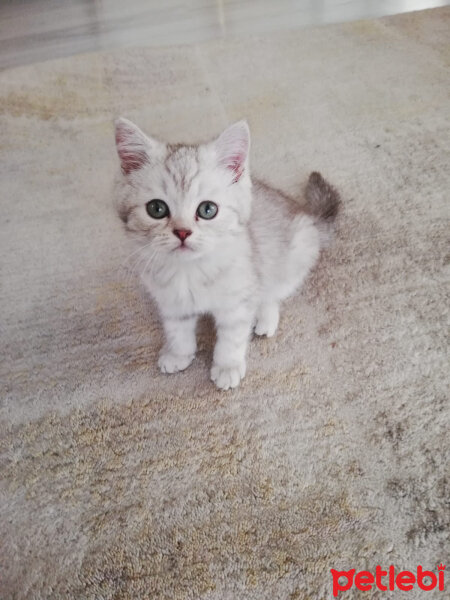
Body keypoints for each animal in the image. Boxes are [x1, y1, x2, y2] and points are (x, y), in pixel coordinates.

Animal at [114, 118, 340, 390]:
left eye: (207, 209)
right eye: (156, 209)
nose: (182, 232)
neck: (190, 271)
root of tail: (307, 215)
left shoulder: (238, 302)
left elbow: (231, 339)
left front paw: (227, 367)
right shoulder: (172, 303)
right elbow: (178, 332)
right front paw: (179, 354)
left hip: (294, 252)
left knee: (272, 294)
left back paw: (265, 318)